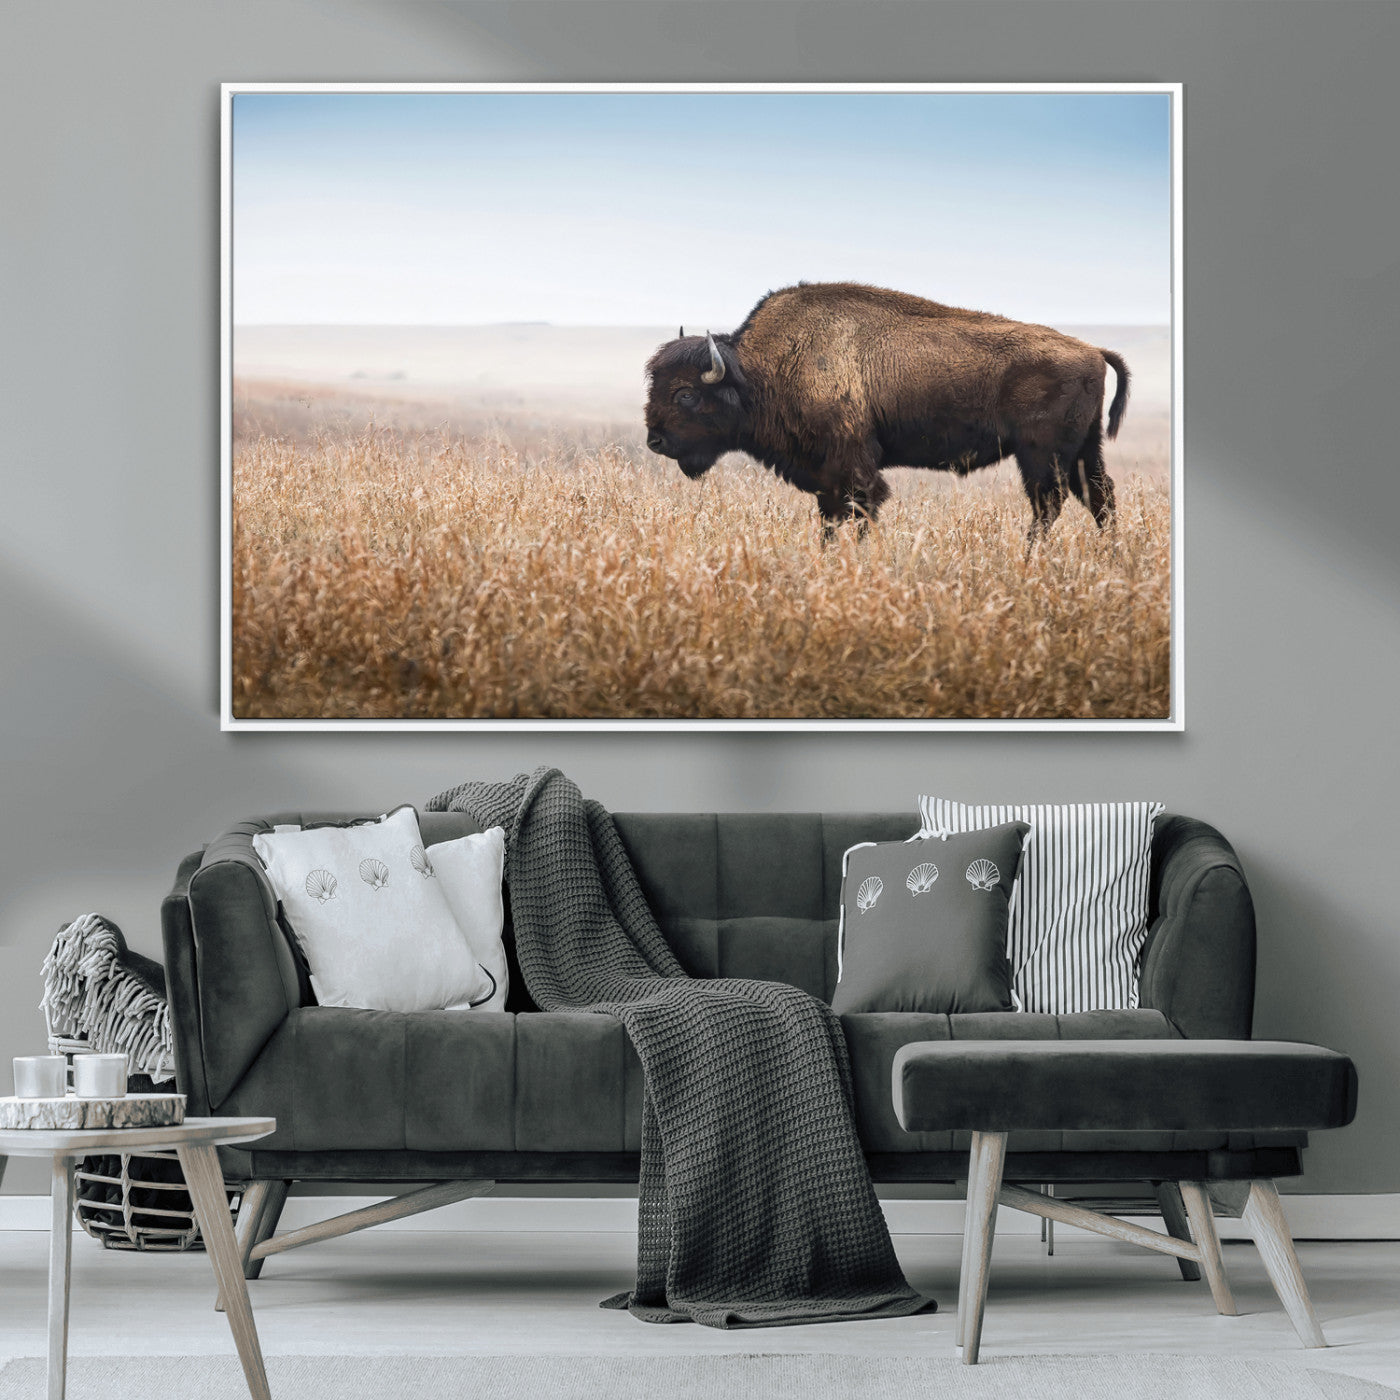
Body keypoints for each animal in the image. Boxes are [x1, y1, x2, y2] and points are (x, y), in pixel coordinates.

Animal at [644, 282, 1130, 543]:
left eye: (685, 394)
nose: (655, 441)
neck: (761, 370)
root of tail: (1092, 350)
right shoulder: (826, 476)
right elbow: (831, 518)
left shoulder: (853, 467)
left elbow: (860, 510)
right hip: (1084, 450)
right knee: (1099, 497)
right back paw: (1109, 556)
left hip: (1041, 455)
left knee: (1050, 503)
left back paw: (1030, 557)